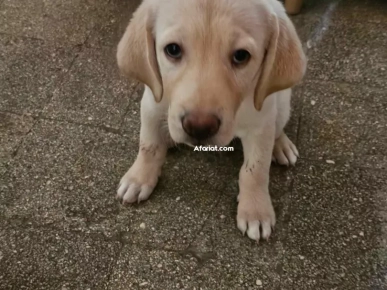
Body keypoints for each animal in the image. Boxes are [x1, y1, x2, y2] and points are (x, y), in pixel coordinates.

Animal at [115, 0, 306, 241]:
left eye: (241, 56)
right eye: (173, 50)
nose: (199, 128)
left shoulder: (261, 124)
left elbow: (256, 170)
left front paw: (256, 209)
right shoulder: (151, 103)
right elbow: (148, 146)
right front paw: (138, 178)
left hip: (281, 103)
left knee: (278, 127)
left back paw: (280, 145)